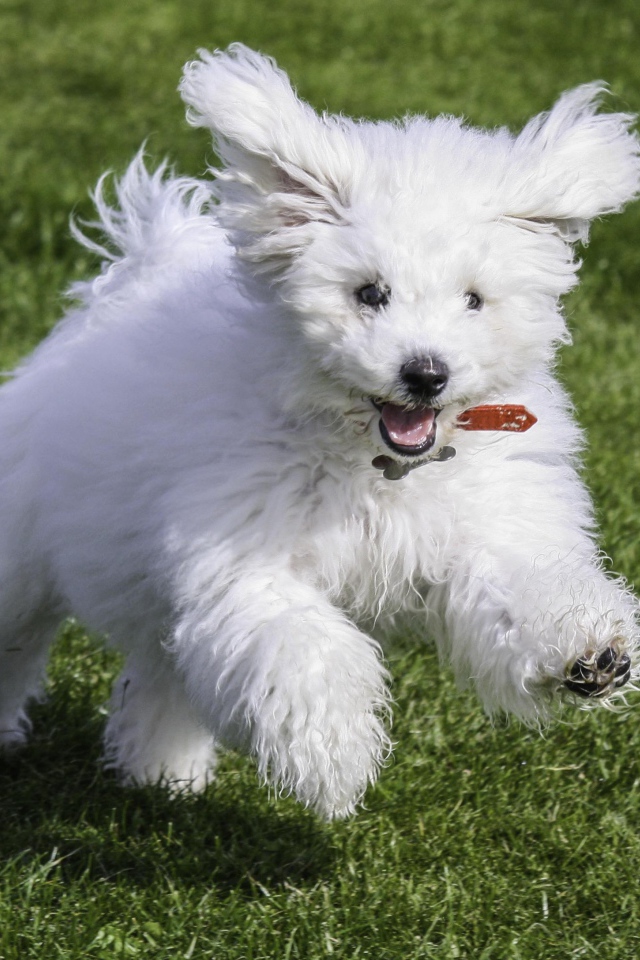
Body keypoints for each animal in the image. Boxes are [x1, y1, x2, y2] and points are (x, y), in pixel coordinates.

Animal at [1, 45, 640, 816]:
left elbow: (517, 587)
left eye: (474, 300)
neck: (374, 460)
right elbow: (301, 648)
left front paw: (591, 652)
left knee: (166, 671)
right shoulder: (243, 558)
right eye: (370, 293)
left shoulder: (482, 529)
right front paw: (335, 756)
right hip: (21, 550)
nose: (426, 373)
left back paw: (163, 774)